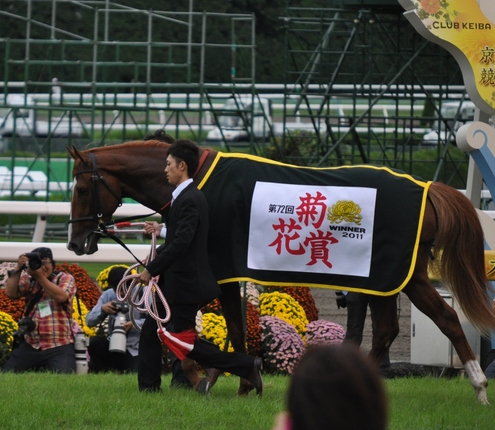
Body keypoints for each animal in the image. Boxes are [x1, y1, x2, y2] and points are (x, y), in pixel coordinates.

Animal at [68, 141, 495, 404]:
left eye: (81, 190)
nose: (76, 242)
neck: (200, 182)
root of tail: (428, 188)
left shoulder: (222, 271)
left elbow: (227, 329)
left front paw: (214, 378)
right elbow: (232, 329)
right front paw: (238, 381)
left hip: (406, 277)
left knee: (446, 318)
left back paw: (478, 385)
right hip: (388, 280)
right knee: (389, 330)